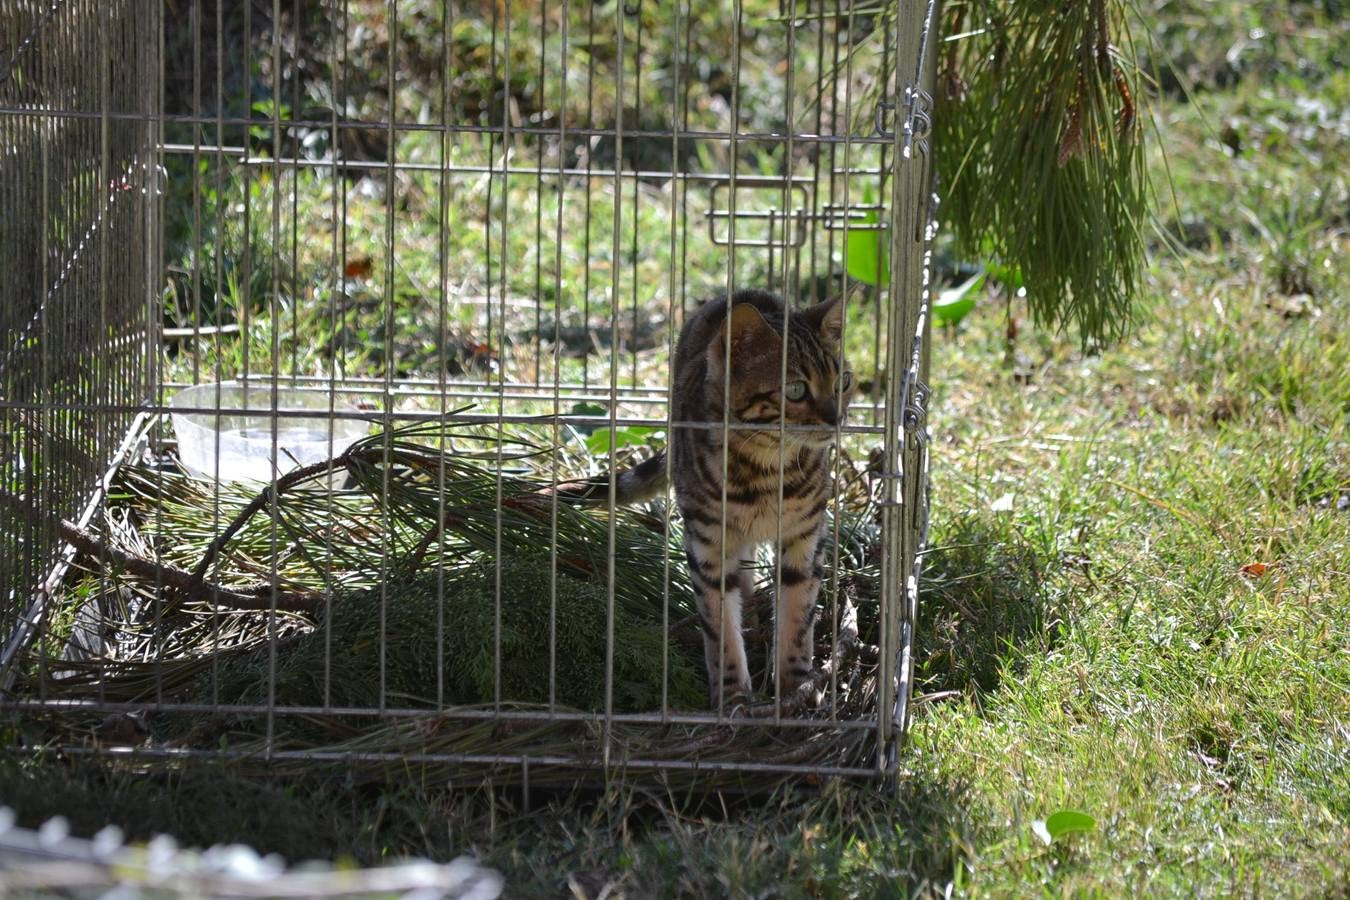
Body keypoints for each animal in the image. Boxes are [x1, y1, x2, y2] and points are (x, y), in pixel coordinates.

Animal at [550, 288, 847, 701]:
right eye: (796, 389)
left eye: (842, 382)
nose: (837, 418)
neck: (766, 470)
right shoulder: (707, 543)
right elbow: (719, 627)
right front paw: (733, 695)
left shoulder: (805, 536)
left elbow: (797, 616)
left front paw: (795, 687)